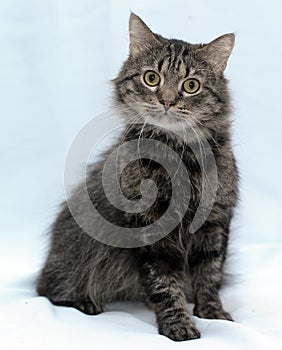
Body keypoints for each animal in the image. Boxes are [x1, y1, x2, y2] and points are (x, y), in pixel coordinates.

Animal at [37, 14, 238, 342]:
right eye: (151, 78)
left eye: (191, 85)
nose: (167, 101)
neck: (179, 156)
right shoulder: (149, 230)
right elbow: (164, 285)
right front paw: (178, 325)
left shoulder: (215, 222)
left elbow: (210, 274)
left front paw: (212, 312)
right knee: (48, 288)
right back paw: (85, 302)